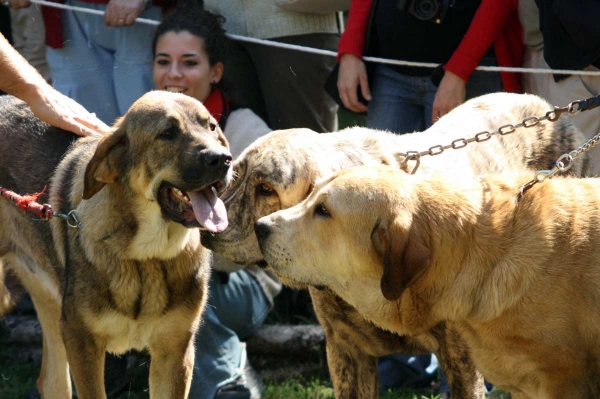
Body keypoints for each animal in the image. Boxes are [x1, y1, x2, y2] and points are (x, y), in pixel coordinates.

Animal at [0, 92, 232, 398]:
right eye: (167, 133)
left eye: (212, 127)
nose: (224, 159)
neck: (147, 257)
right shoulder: (81, 342)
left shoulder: (174, 350)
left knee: (51, 380)